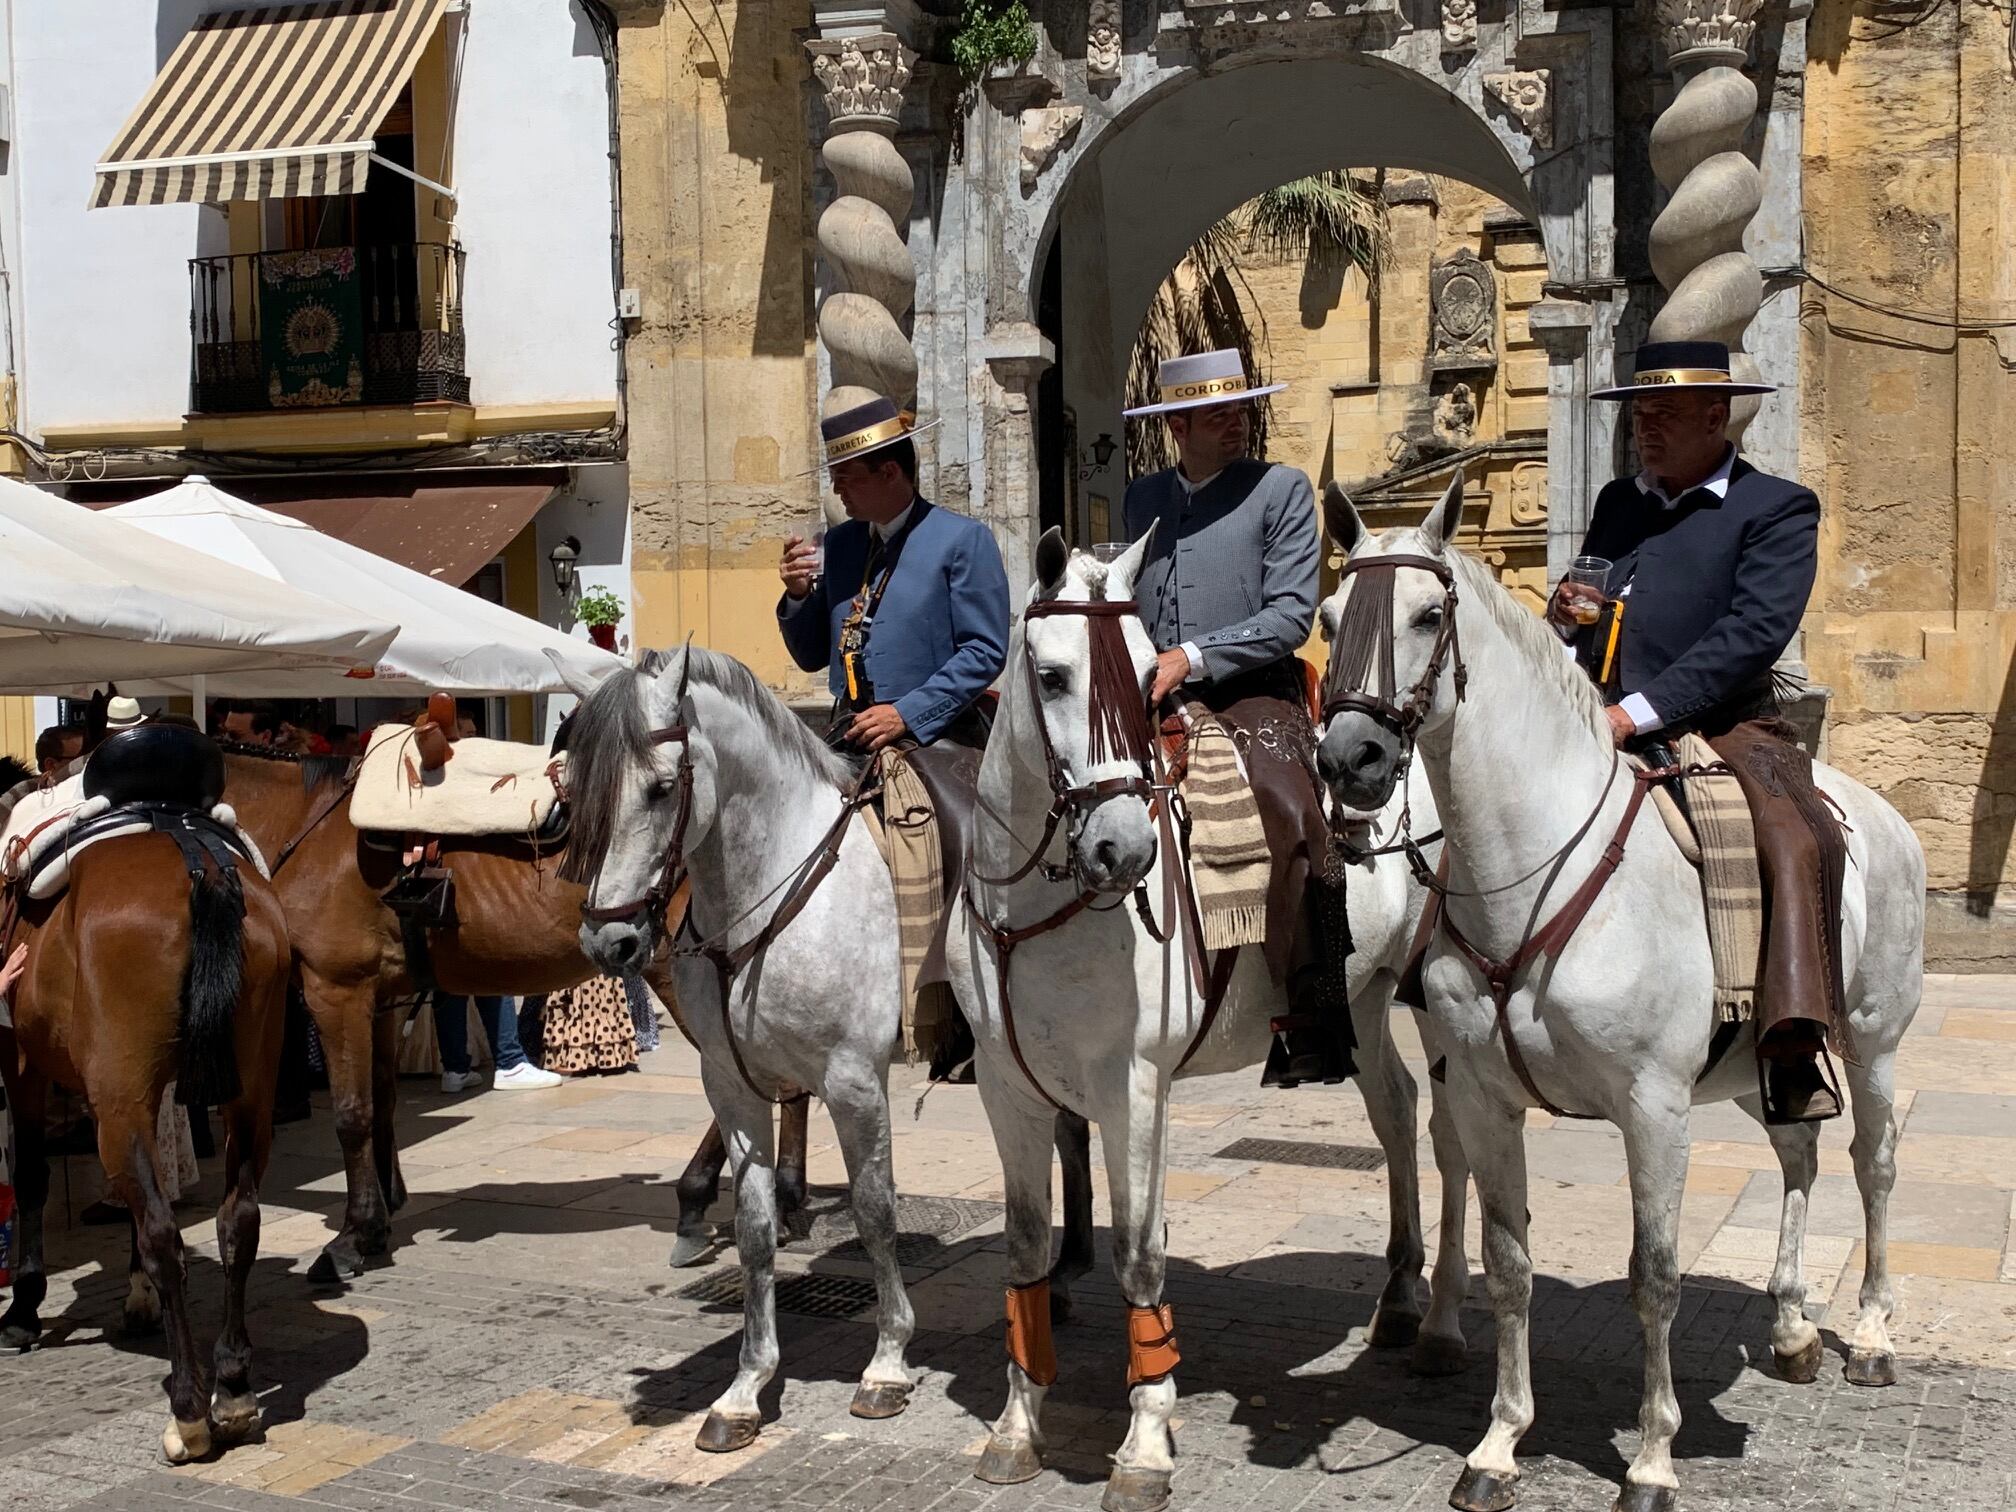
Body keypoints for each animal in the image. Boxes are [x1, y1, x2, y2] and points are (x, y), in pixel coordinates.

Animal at [0, 830, 288, 1467]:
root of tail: (201, 866)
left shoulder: (24, 1065)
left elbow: (31, 1178)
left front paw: (23, 1308)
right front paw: (137, 1297)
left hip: (118, 1100)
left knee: (162, 1231)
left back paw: (189, 1412)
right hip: (251, 1091)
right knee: (239, 1220)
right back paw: (232, 1388)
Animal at [216, 753, 806, 1282]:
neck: (304, 823)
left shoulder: (336, 993)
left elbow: (351, 1115)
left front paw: (352, 1237)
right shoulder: (379, 1000)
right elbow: (382, 1104)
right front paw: (381, 1218)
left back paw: (703, 1198)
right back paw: (783, 1200)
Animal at [560, 653, 923, 1459]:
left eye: (663, 787)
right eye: (578, 792)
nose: (609, 941)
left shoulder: (856, 1082)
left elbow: (875, 1212)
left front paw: (886, 1364)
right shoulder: (730, 1085)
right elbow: (754, 1232)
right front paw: (746, 1388)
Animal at [947, 528, 1467, 1512]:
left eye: (1146, 670)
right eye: (1054, 675)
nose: (1123, 849)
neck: (1040, 911)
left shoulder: (1133, 1090)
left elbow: (1140, 1257)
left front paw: (1146, 1441)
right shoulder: (1007, 1092)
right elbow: (1025, 1249)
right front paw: (1017, 1426)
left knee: (1454, 1144)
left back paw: (1444, 1325)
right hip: (1362, 998)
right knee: (1396, 1108)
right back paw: (1400, 1295)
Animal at [1314, 481, 1927, 1512]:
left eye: (1430, 615)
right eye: (1326, 619)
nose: (1348, 761)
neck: (1536, 867)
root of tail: (1882, 815)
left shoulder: (1653, 1107)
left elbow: (1657, 1277)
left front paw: (1651, 1458)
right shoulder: (1483, 1095)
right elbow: (1510, 1264)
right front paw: (1498, 1443)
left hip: (1875, 1040)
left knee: (1875, 1167)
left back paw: (1873, 1335)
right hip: (1772, 1060)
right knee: (1799, 1154)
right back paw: (1794, 1327)